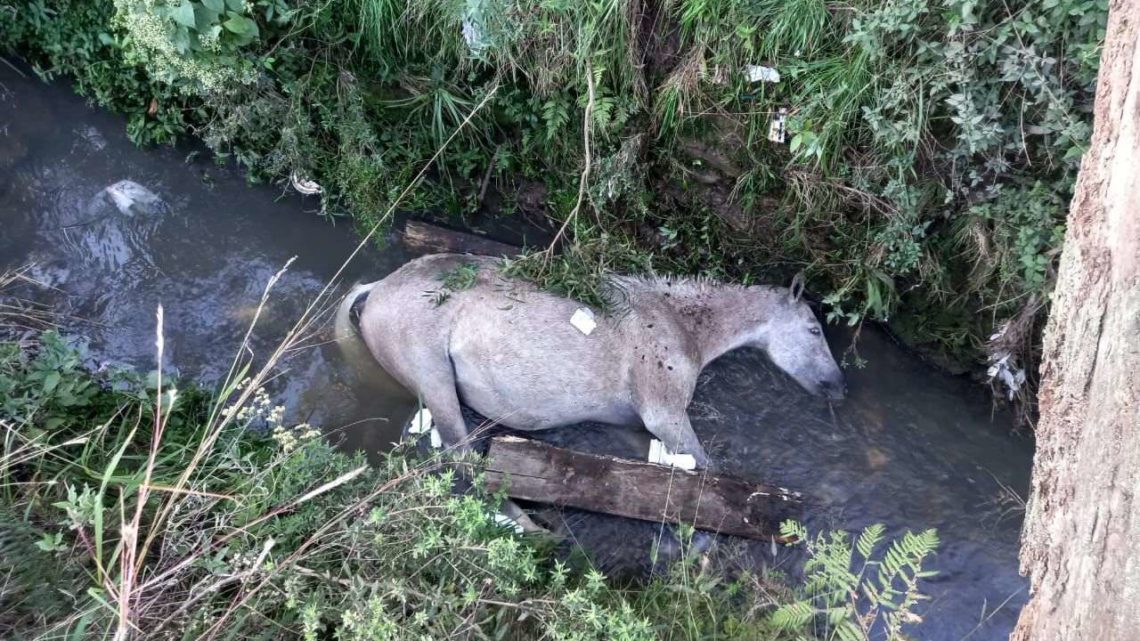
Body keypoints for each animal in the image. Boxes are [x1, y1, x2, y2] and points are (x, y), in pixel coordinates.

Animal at [332, 250, 843, 469]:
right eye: (814, 330)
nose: (838, 385)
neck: (680, 325)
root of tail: (378, 288)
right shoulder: (667, 418)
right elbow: (709, 475)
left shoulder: (635, 427)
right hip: (436, 384)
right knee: (462, 458)